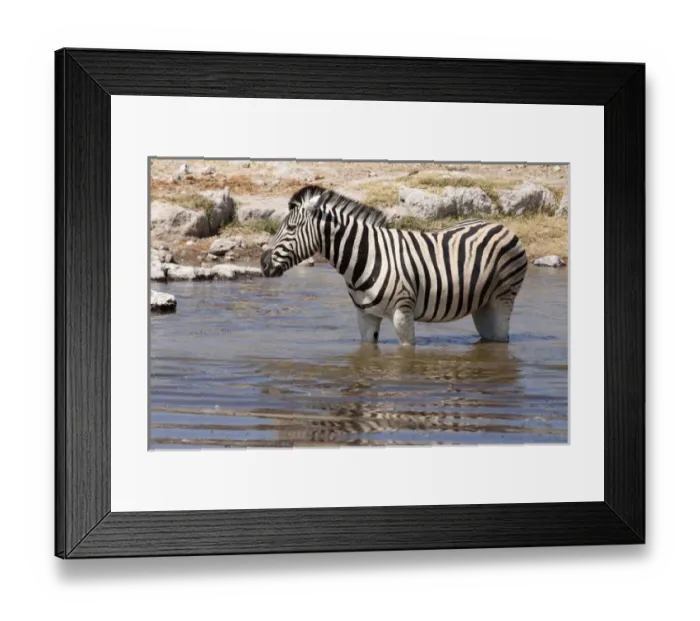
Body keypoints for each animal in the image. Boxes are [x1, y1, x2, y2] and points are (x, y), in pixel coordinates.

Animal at [260, 185, 528, 346]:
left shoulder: (402, 313)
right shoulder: (365, 315)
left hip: (503, 297)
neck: (366, 257)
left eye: (291, 228)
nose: (263, 263)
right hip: (483, 304)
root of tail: (500, 225)